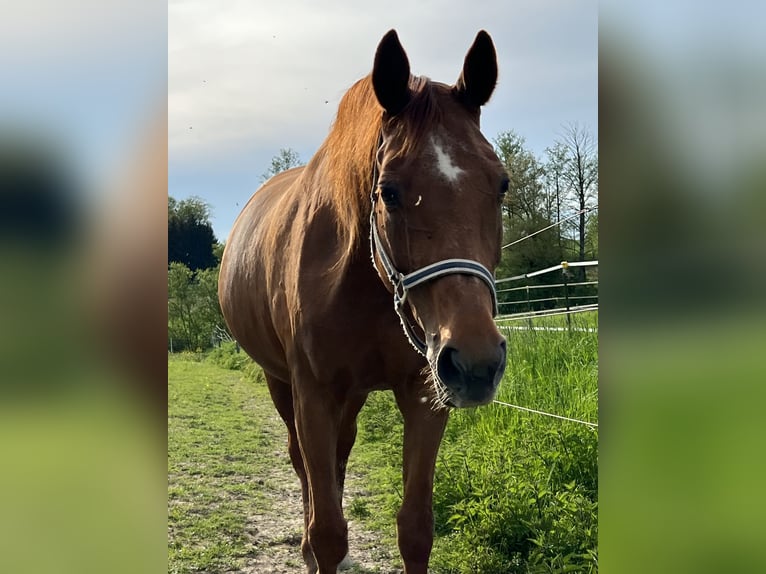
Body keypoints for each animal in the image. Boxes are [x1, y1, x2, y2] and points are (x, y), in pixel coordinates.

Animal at [219, 30, 510, 574]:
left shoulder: (423, 394)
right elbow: (329, 530)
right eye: (389, 191)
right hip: (280, 382)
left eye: (501, 185)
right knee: (304, 464)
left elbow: (415, 530)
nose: (476, 361)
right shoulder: (313, 395)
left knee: (339, 454)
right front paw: (316, 548)